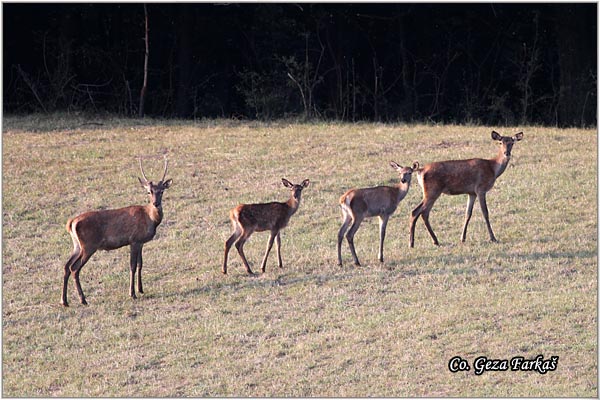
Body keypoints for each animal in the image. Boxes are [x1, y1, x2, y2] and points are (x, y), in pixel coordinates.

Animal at [60, 156, 171, 306]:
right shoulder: (134, 240)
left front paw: (141, 289)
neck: (150, 219)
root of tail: (71, 223)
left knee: (66, 266)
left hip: (77, 245)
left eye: (161, 191)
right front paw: (132, 293)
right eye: (149, 192)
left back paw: (64, 301)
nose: (156, 203)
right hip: (89, 245)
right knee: (74, 268)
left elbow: (140, 264)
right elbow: (132, 266)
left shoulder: (141, 242)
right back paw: (83, 299)